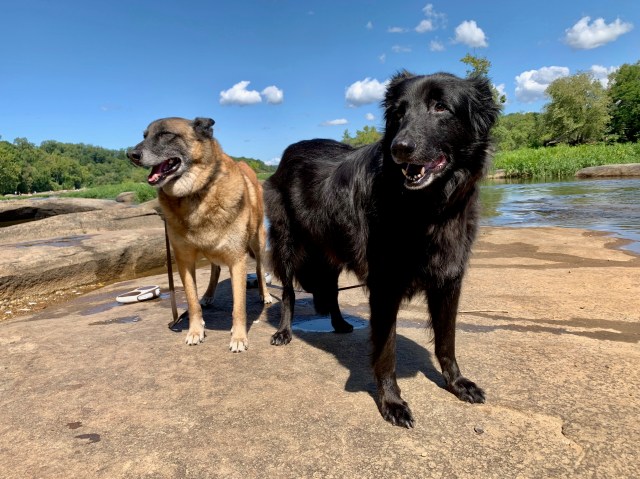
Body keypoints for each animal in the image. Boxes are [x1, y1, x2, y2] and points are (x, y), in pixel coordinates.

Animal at [128, 117, 272, 351]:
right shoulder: (184, 260)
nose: (130, 154)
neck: (195, 193)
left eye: (166, 134)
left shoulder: (237, 259)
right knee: (215, 269)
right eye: (144, 136)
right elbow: (192, 301)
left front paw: (239, 337)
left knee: (259, 269)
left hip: (257, 242)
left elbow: (239, 305)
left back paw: (265, 294)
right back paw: (208, 294)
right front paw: (195, 331)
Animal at [264, 72, 500, 427]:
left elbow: (447, 341)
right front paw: (392, 402)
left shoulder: (449, 280)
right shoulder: (385, 286)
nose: (399, 148)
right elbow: (386, 352)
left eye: (441, 107)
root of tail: (287, 152)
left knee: (330, 290)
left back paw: (339, 324)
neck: (426, 209)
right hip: (287, 246)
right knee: (289, 292)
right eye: (399, 113)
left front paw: (457, 383)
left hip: (332, 251)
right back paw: (284, 331)